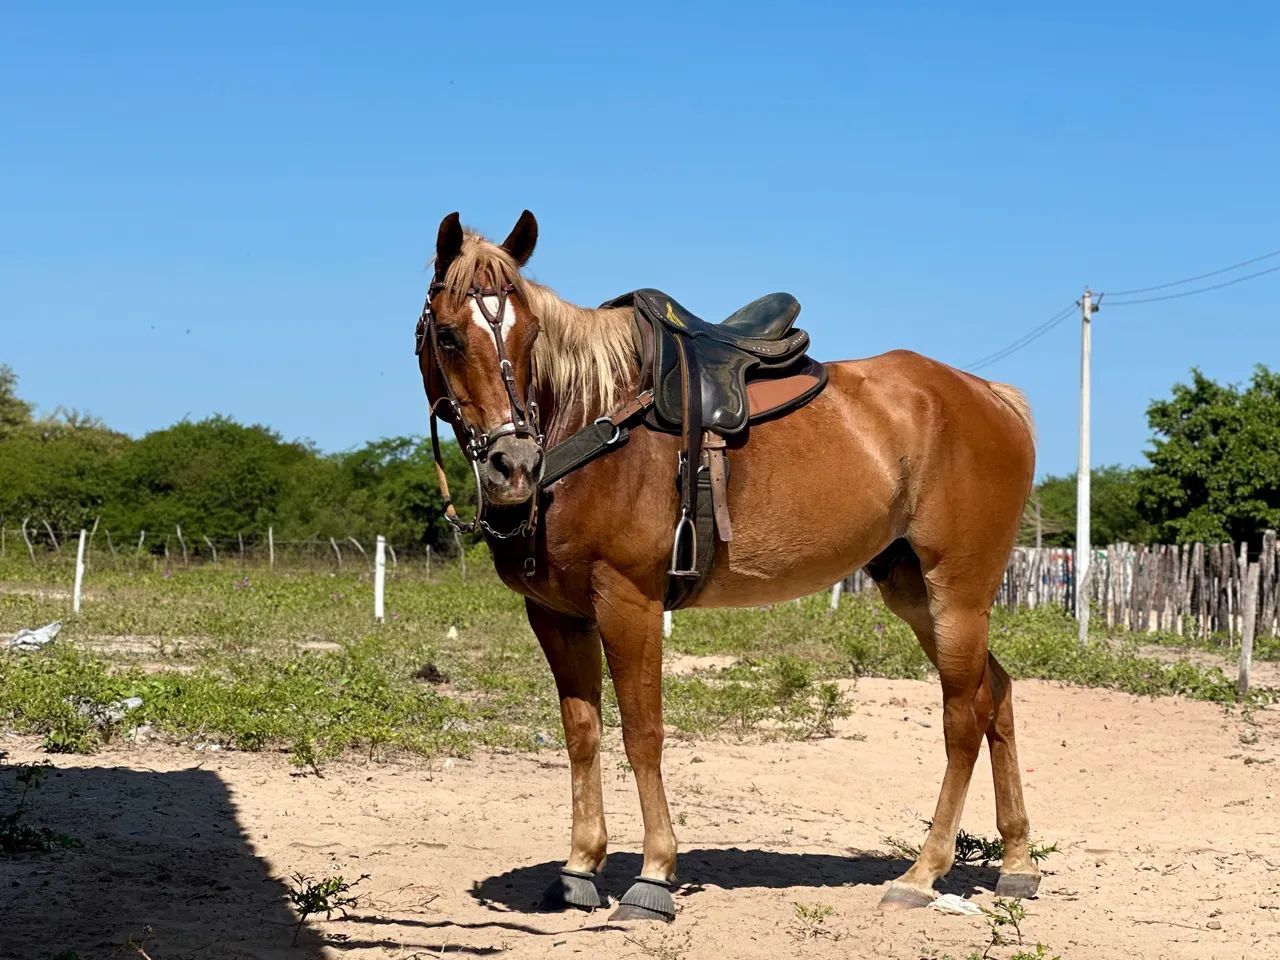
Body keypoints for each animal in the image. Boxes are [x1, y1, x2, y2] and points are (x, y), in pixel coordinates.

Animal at [416, 210, 1039, 922]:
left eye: (531, 333)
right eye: (448, 336)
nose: (514, 465)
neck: (588, 418)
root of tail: (992, 396)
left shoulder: (628, 601)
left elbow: (642, 732)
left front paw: (654, 876)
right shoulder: (555, 614)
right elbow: (582, 732)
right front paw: (579, 868)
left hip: (957, 593)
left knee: (963, 717)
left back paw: (922, 872)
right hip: (914, 592)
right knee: (998, 696)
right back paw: (1017, 864)